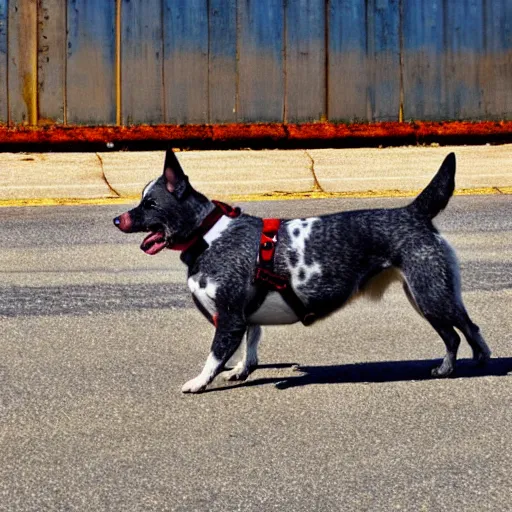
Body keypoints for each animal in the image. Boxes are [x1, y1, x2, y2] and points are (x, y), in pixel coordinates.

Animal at [114, 150, 490, 394]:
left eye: (150, 204)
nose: (117, 219)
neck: (208, 235)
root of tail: (413, 212)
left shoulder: (229, 317)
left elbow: (215, 356)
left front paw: (199, 382)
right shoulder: (245, 317)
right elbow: (251, 344)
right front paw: (242, 369)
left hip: (431, 296)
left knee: (465, 330)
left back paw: (470, 363)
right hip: (425, 297)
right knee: (458, 333)